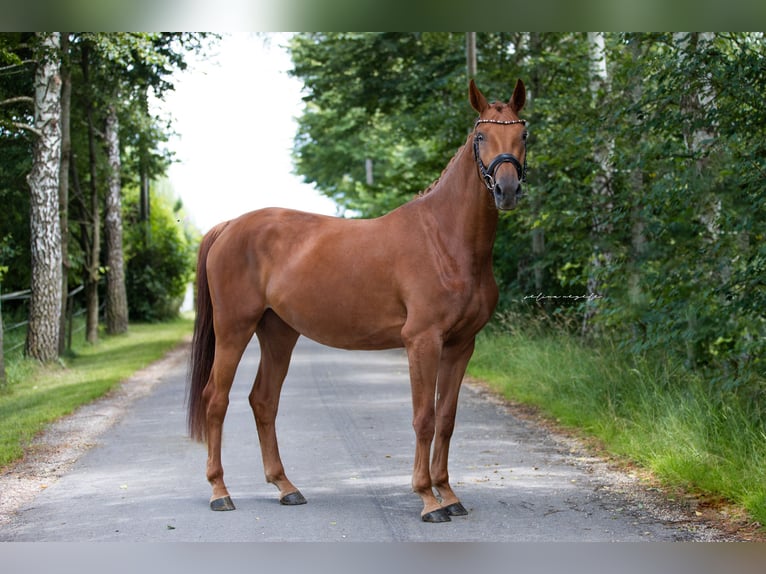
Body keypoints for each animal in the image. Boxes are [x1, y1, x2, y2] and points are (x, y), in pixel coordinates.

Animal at [187, 79, 528, 523]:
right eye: (481, 136)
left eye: (523, 135)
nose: (507, 189)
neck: (445, 239)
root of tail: (228, 226)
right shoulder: (423, 341)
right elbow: (424, 418)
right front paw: (428, 499)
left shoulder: (461, 344)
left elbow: (447, 418)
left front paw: (450, 495)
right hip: (234, 328)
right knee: (216, 399)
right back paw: (219, 492)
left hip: (278, 332)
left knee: (263, 401)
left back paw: (286, 487)